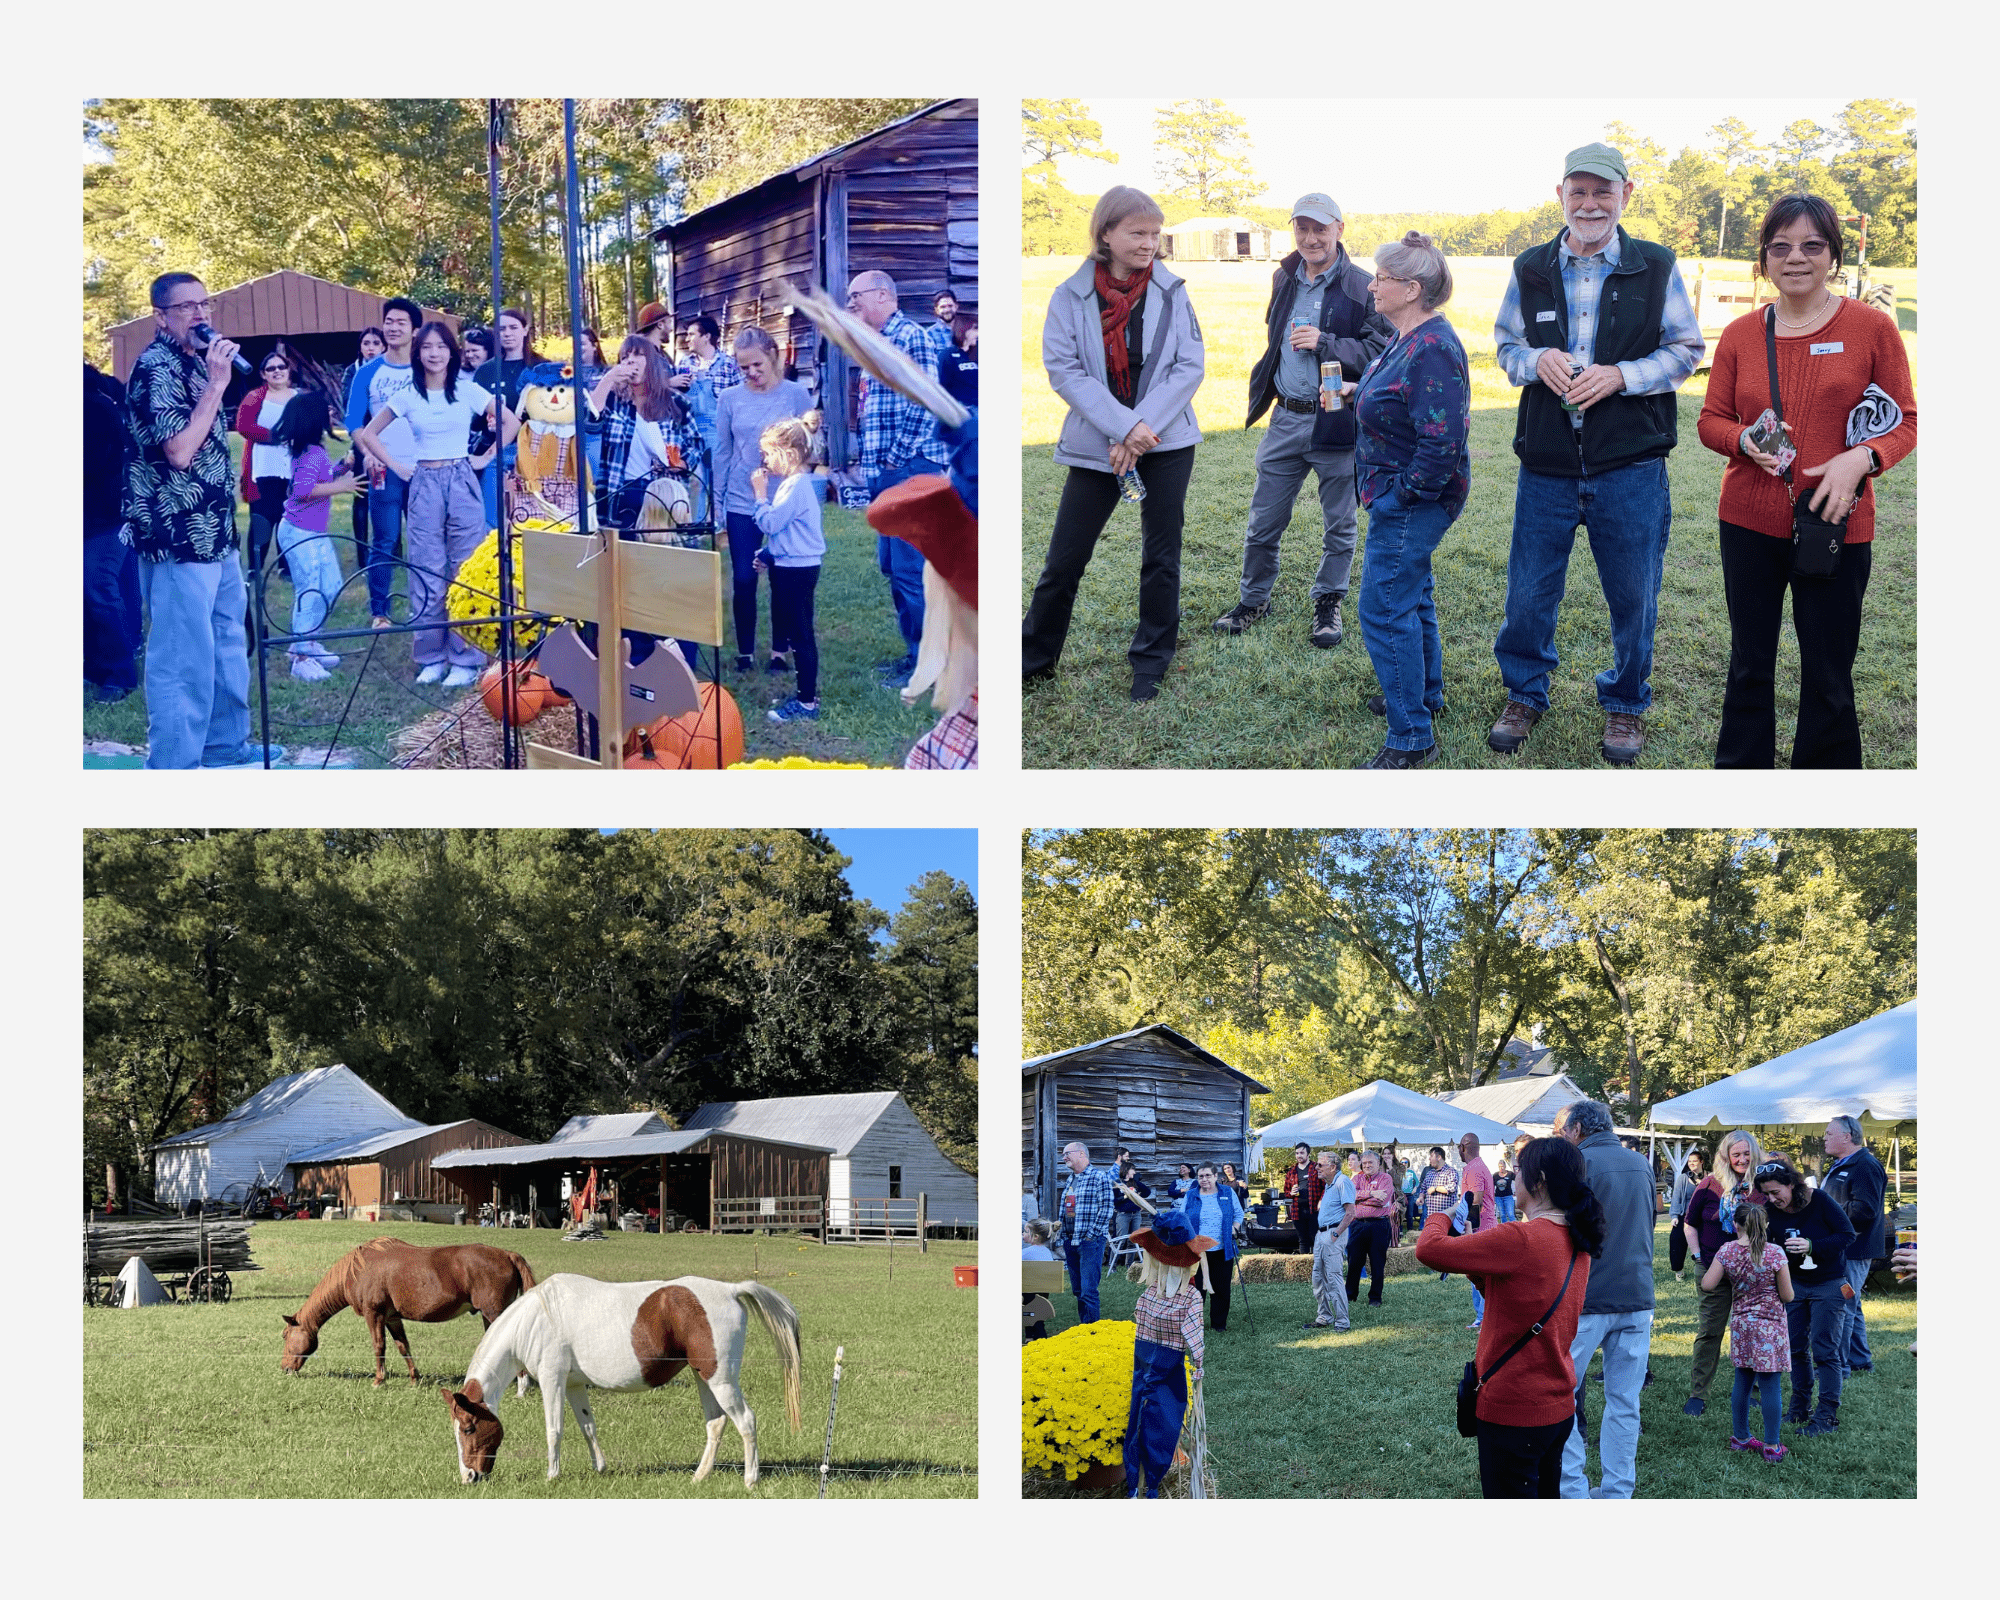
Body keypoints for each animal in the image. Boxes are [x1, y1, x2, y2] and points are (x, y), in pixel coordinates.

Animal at [282, 1240, 536, 1384]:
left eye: (285, 1336)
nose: (285, 1368)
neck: (356, 1270)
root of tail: (508, 1255)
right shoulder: (392, 1318)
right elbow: (403, 1346)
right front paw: (415, 1379)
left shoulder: (374, 1314)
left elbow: (379, 1346)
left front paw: (379, 1380)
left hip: (494, 1312)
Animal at [442, 1272, 800, 1488]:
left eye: (468, 1428)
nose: (468, 1475)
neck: (537, 1318)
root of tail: (731, 1290)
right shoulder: (573, 1385)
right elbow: (587, 1426)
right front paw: (599, 1468)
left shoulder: (552, 1380)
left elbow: (554, 1430)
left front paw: (552, 1475)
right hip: (705, 1379)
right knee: (716, 1423)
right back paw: (700, 1476)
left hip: (721, 1380)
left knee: (746, 1421)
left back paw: (751, 1479)